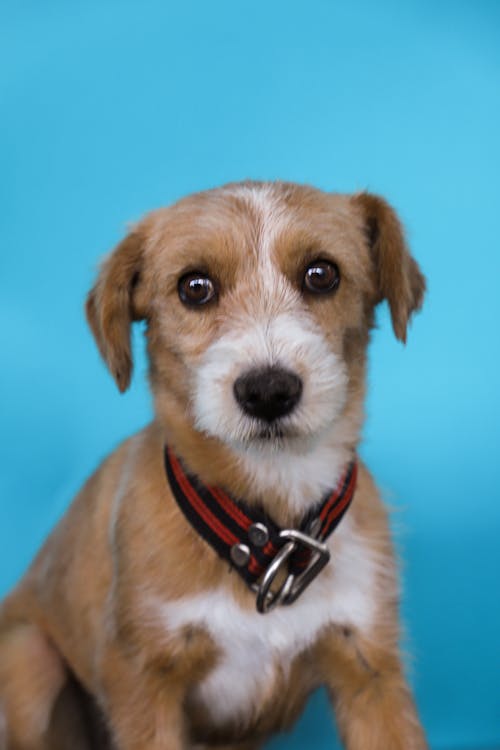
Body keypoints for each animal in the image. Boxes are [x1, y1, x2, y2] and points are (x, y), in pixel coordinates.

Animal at [0, 182, 430, 750]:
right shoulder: (143, 681)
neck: (268, 532)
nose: (268, 390)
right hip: (28, 660)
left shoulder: (369, 668)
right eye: (194, 287)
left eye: (322, 274)